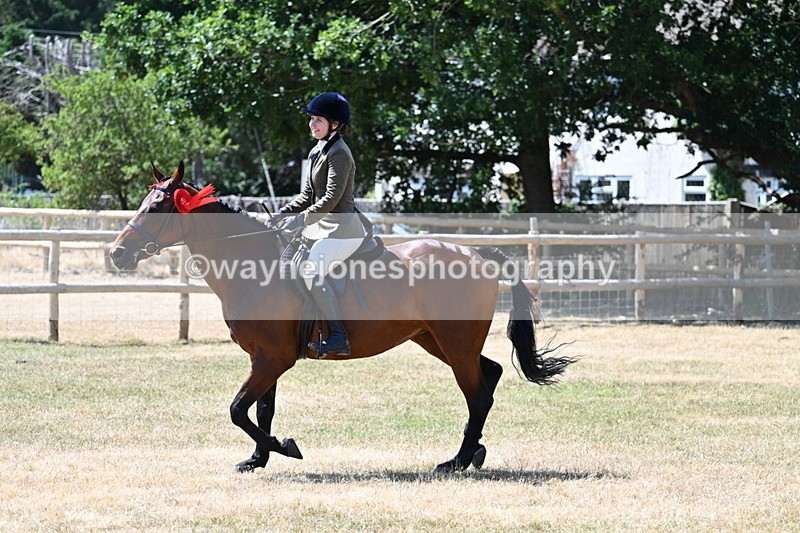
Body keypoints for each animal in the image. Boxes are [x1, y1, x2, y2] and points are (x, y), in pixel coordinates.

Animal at [109, 161, 575, 473]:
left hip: (454, 343)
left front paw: (283, 447)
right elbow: (262, 410)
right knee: (489, 374)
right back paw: (474, 452)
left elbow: (239, 410)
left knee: (477, 393)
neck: (254, 266)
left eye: (157, 208)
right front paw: (258, 458)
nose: (116, 254)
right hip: (435, 340)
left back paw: (456, 461)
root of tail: (478, 253)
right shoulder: (265, 358)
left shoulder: (273, 359)